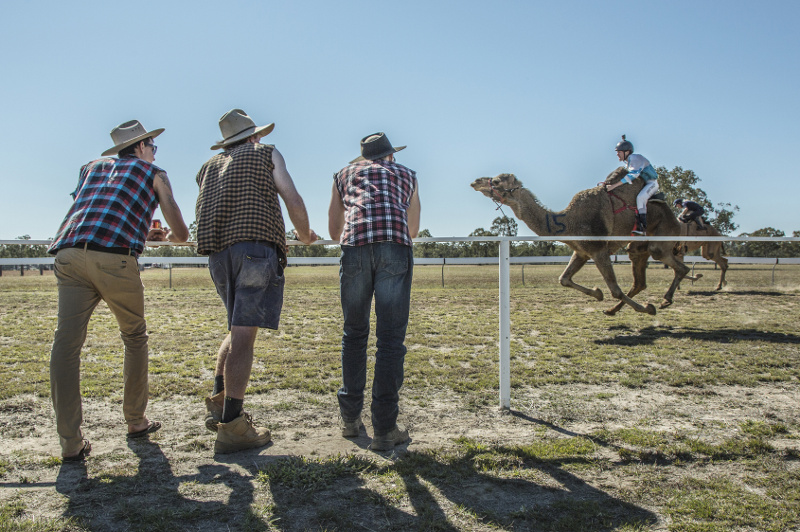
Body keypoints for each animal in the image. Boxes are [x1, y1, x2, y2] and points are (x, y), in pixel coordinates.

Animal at [472, 168, 704, 314]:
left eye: (497, 181)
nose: (475, 181)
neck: (566, 221)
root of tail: (675, 217)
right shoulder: (582, 251)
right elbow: (564, 279)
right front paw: (598, 294)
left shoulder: (598, 249)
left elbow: (615, 289)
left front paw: (647, 308)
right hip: (637, 248)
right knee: (642, 279)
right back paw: (614, 310)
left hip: (661, 236)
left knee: (674, 263)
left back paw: (663, 301)